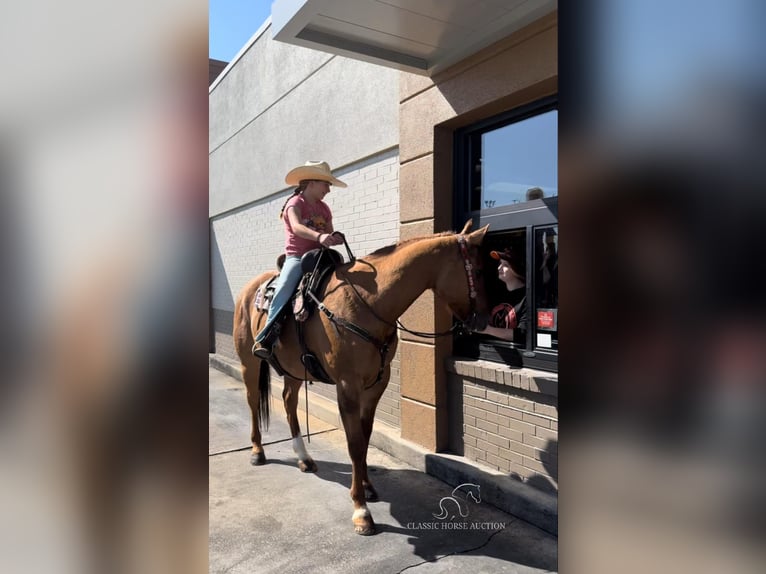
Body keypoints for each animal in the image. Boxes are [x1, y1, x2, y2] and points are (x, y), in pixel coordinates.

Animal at [231, 223, 492, 536]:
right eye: (479, 271)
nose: (485, 319)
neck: (368, 302)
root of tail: (250, 289)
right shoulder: (348, 387)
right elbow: (354, 443)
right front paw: (361, 511)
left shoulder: (376, 384)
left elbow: (365, 437)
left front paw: (367, 487)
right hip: (249, 362)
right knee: (253, 402)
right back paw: (257, 451)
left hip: (295, 369)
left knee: (289, 401)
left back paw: (304, 458)